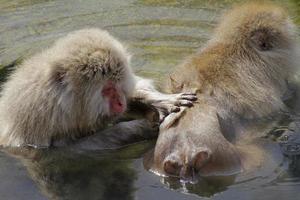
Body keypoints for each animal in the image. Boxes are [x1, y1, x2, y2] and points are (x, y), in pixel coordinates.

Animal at [0, 28, 197, 149]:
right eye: (107, 89)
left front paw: (159, 101)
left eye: (119, 86)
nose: (120, 104)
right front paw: (138, 128)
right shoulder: (40, 124)